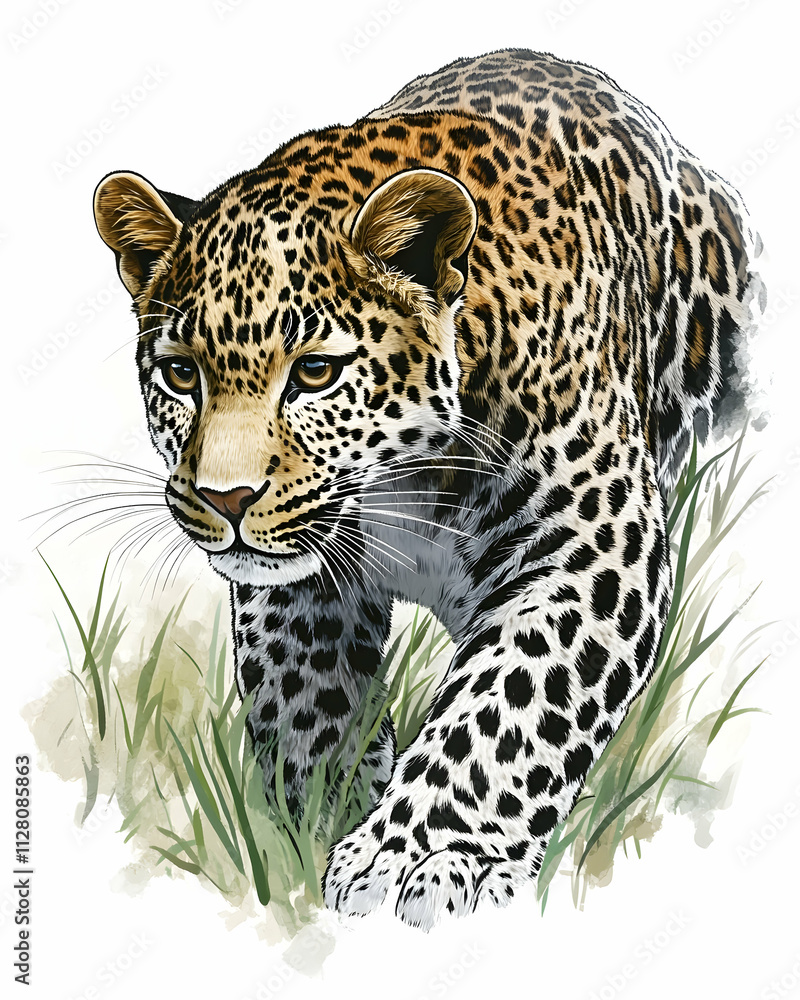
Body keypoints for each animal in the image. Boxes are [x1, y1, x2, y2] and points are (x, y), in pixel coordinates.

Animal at [92, 48, 764, 931]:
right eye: (180, 374)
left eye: (315, 372)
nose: (226, 499)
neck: (402, 489)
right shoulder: (303, 581)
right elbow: (306, 702)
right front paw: (319, 823)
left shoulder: (593, 544)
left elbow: (509, 702)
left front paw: (422, 855)